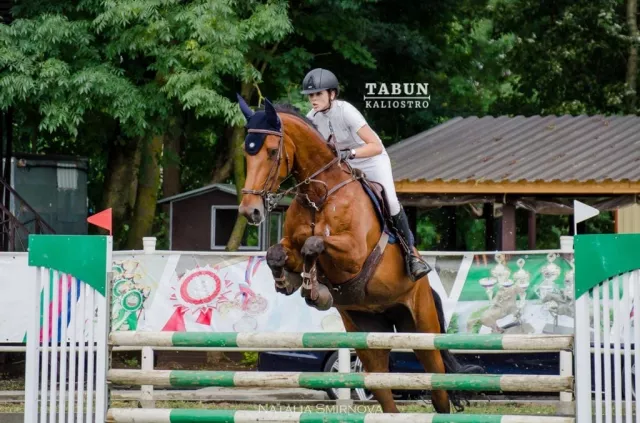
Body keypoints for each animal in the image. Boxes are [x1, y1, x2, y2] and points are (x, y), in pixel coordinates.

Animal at [236, 94, 481, 414]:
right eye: (246, 152)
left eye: (272, 151)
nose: (249, 211)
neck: (320, 195)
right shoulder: (292, 244)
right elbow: (277, 253)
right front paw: (289, 282)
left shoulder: (353, 254)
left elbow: (314, 244)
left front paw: (314, 290)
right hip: (369, 334)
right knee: (383, 390)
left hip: (421, 328)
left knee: (438, 388)